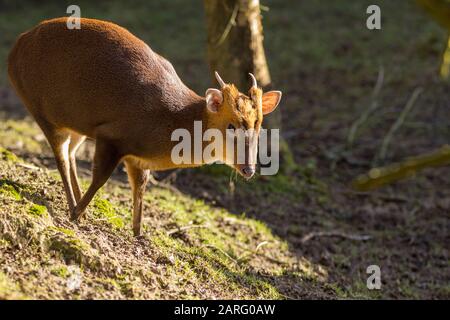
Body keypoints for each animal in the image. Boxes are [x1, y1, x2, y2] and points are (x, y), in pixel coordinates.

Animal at [7, 18, 282, 236]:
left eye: (258, 125)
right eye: (231, 125)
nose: (248, 169)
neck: (168, 120)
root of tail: (17, 45)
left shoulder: (136, 157)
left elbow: (140, 188)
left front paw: (138, 232)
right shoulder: (112, 135)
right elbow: (100, 178)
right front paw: (75, 214)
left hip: (75, 125)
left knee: (72, 154)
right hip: (41, 109)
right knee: (62, 157)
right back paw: (75, 207)